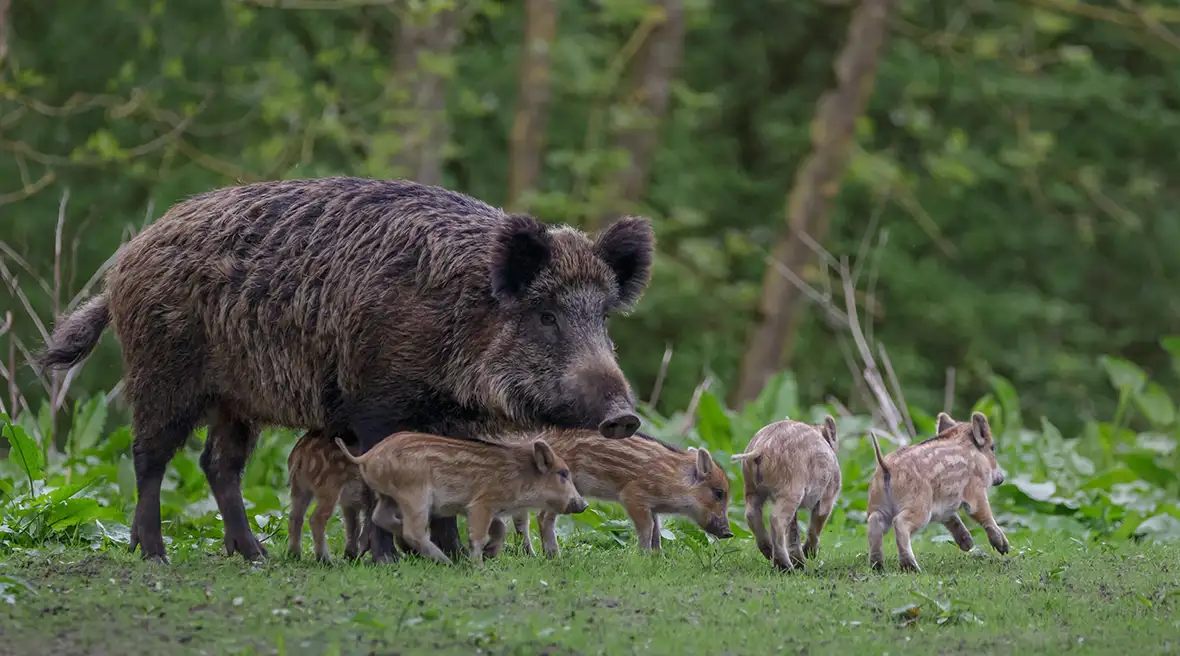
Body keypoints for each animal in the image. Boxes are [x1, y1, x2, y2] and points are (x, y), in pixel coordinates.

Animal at [286, 430, 370, 563]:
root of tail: (300, 454)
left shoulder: (350, 504)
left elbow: (354, 526)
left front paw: (351, 557)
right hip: (329, 488)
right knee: (316, 518)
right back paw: (325, 560)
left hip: (299, 487)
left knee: (294, 516)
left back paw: (294, 555)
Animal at [333, 431, 588, 565]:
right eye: (563, 474)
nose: (584, 504)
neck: (520, 476)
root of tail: (366, 456)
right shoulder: (481, 503)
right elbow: (478, 535)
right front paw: (478, 564)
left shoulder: (491, 509)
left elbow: (499, 529)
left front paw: (489, 554)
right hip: (415, 495)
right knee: (412, 531)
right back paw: (445, 561)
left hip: (388, 496)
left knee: (381, 517)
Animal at [505, 428, 733, 558]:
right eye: (718, 493)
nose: (729, 533)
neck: (675, 480)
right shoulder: (633, 497)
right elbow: (647, 528)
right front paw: (644, 557)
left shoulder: (652, 507)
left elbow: (657, 530)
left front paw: (659, 557)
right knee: (543, 516)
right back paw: (554, 556)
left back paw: (531, 555)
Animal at [730, 416, 841, 571]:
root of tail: (760, 448)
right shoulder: (828, 496)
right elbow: (817, 520)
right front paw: (809, 555)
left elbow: (794, 529)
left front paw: (801, 562)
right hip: (790, 490)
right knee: (776, 520)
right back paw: (786, 567)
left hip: (752, 488)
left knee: (751, 515)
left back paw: (771, 554)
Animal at [866, 411, 1009, 573]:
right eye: (992, 448)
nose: (1001, 479)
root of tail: (886, 466)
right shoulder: (975, 491)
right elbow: (985, 515)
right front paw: (1004, 548)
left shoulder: (944, 506)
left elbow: (952, 518)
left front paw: (968, 544)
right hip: (919, 507)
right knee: (900, 523)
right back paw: (911, 567)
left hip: (878, 504)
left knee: (874, 522)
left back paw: (877, 566)